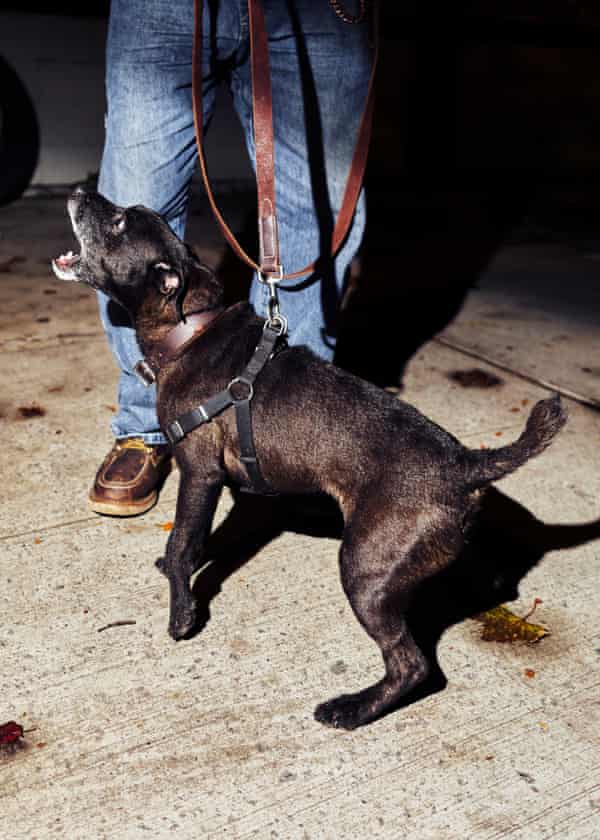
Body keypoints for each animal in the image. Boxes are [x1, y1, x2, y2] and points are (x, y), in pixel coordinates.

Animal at [52, 190, 568, 728]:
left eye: (117, 223)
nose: (78, 191)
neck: (188, 331)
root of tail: (464, 463)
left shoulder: (200, 473)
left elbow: (182, 546)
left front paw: (182, 614)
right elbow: (194, 541)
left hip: (365, 568)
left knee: (412, 664)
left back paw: (353, 708)